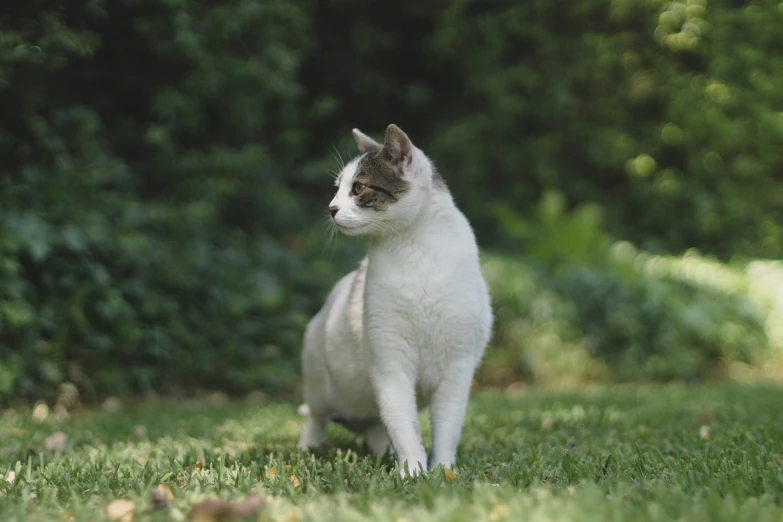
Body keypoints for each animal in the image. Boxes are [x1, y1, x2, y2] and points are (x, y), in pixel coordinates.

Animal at [298, 123, 494, 476]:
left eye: (358, 187)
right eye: (337, 189)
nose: (331, 209)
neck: (415, 248)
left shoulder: (457, 369)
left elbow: (446, 427)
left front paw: (443, 471)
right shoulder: (390, 362)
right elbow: (404, 424)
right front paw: (413, 472)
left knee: (376, 425)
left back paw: (380, 451)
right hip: (319, 383)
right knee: (317, 418)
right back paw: (310, 447)